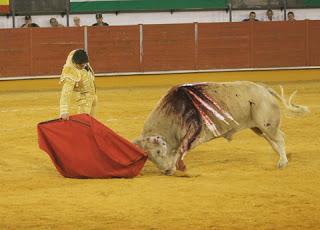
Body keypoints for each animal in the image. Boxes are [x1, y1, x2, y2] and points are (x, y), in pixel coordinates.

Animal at [134, 81, 308, 174]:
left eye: (158, 151)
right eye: (149, 157)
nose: (166, 171)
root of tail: (263, 89)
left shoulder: (191, 133)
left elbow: (180, 151)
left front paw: (180, 166)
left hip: (266, 123)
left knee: (279, 138)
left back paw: (282, 162)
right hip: (259, 127)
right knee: (274, 139)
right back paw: (282, 157)